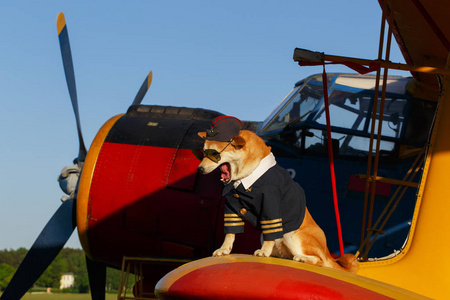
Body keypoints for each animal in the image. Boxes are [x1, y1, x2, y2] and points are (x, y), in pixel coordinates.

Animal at [193, 115, 358, 274]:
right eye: (203, 152)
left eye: (215, 154)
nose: (199, 169)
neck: (247, 177)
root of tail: (328, 252)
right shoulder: (232, 205)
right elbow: (230, 233)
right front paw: (224, 249)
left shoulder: (270, 205)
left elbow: (270, 231)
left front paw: (263, 251)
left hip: (292, 235)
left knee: (320, 261)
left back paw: (301, 258)